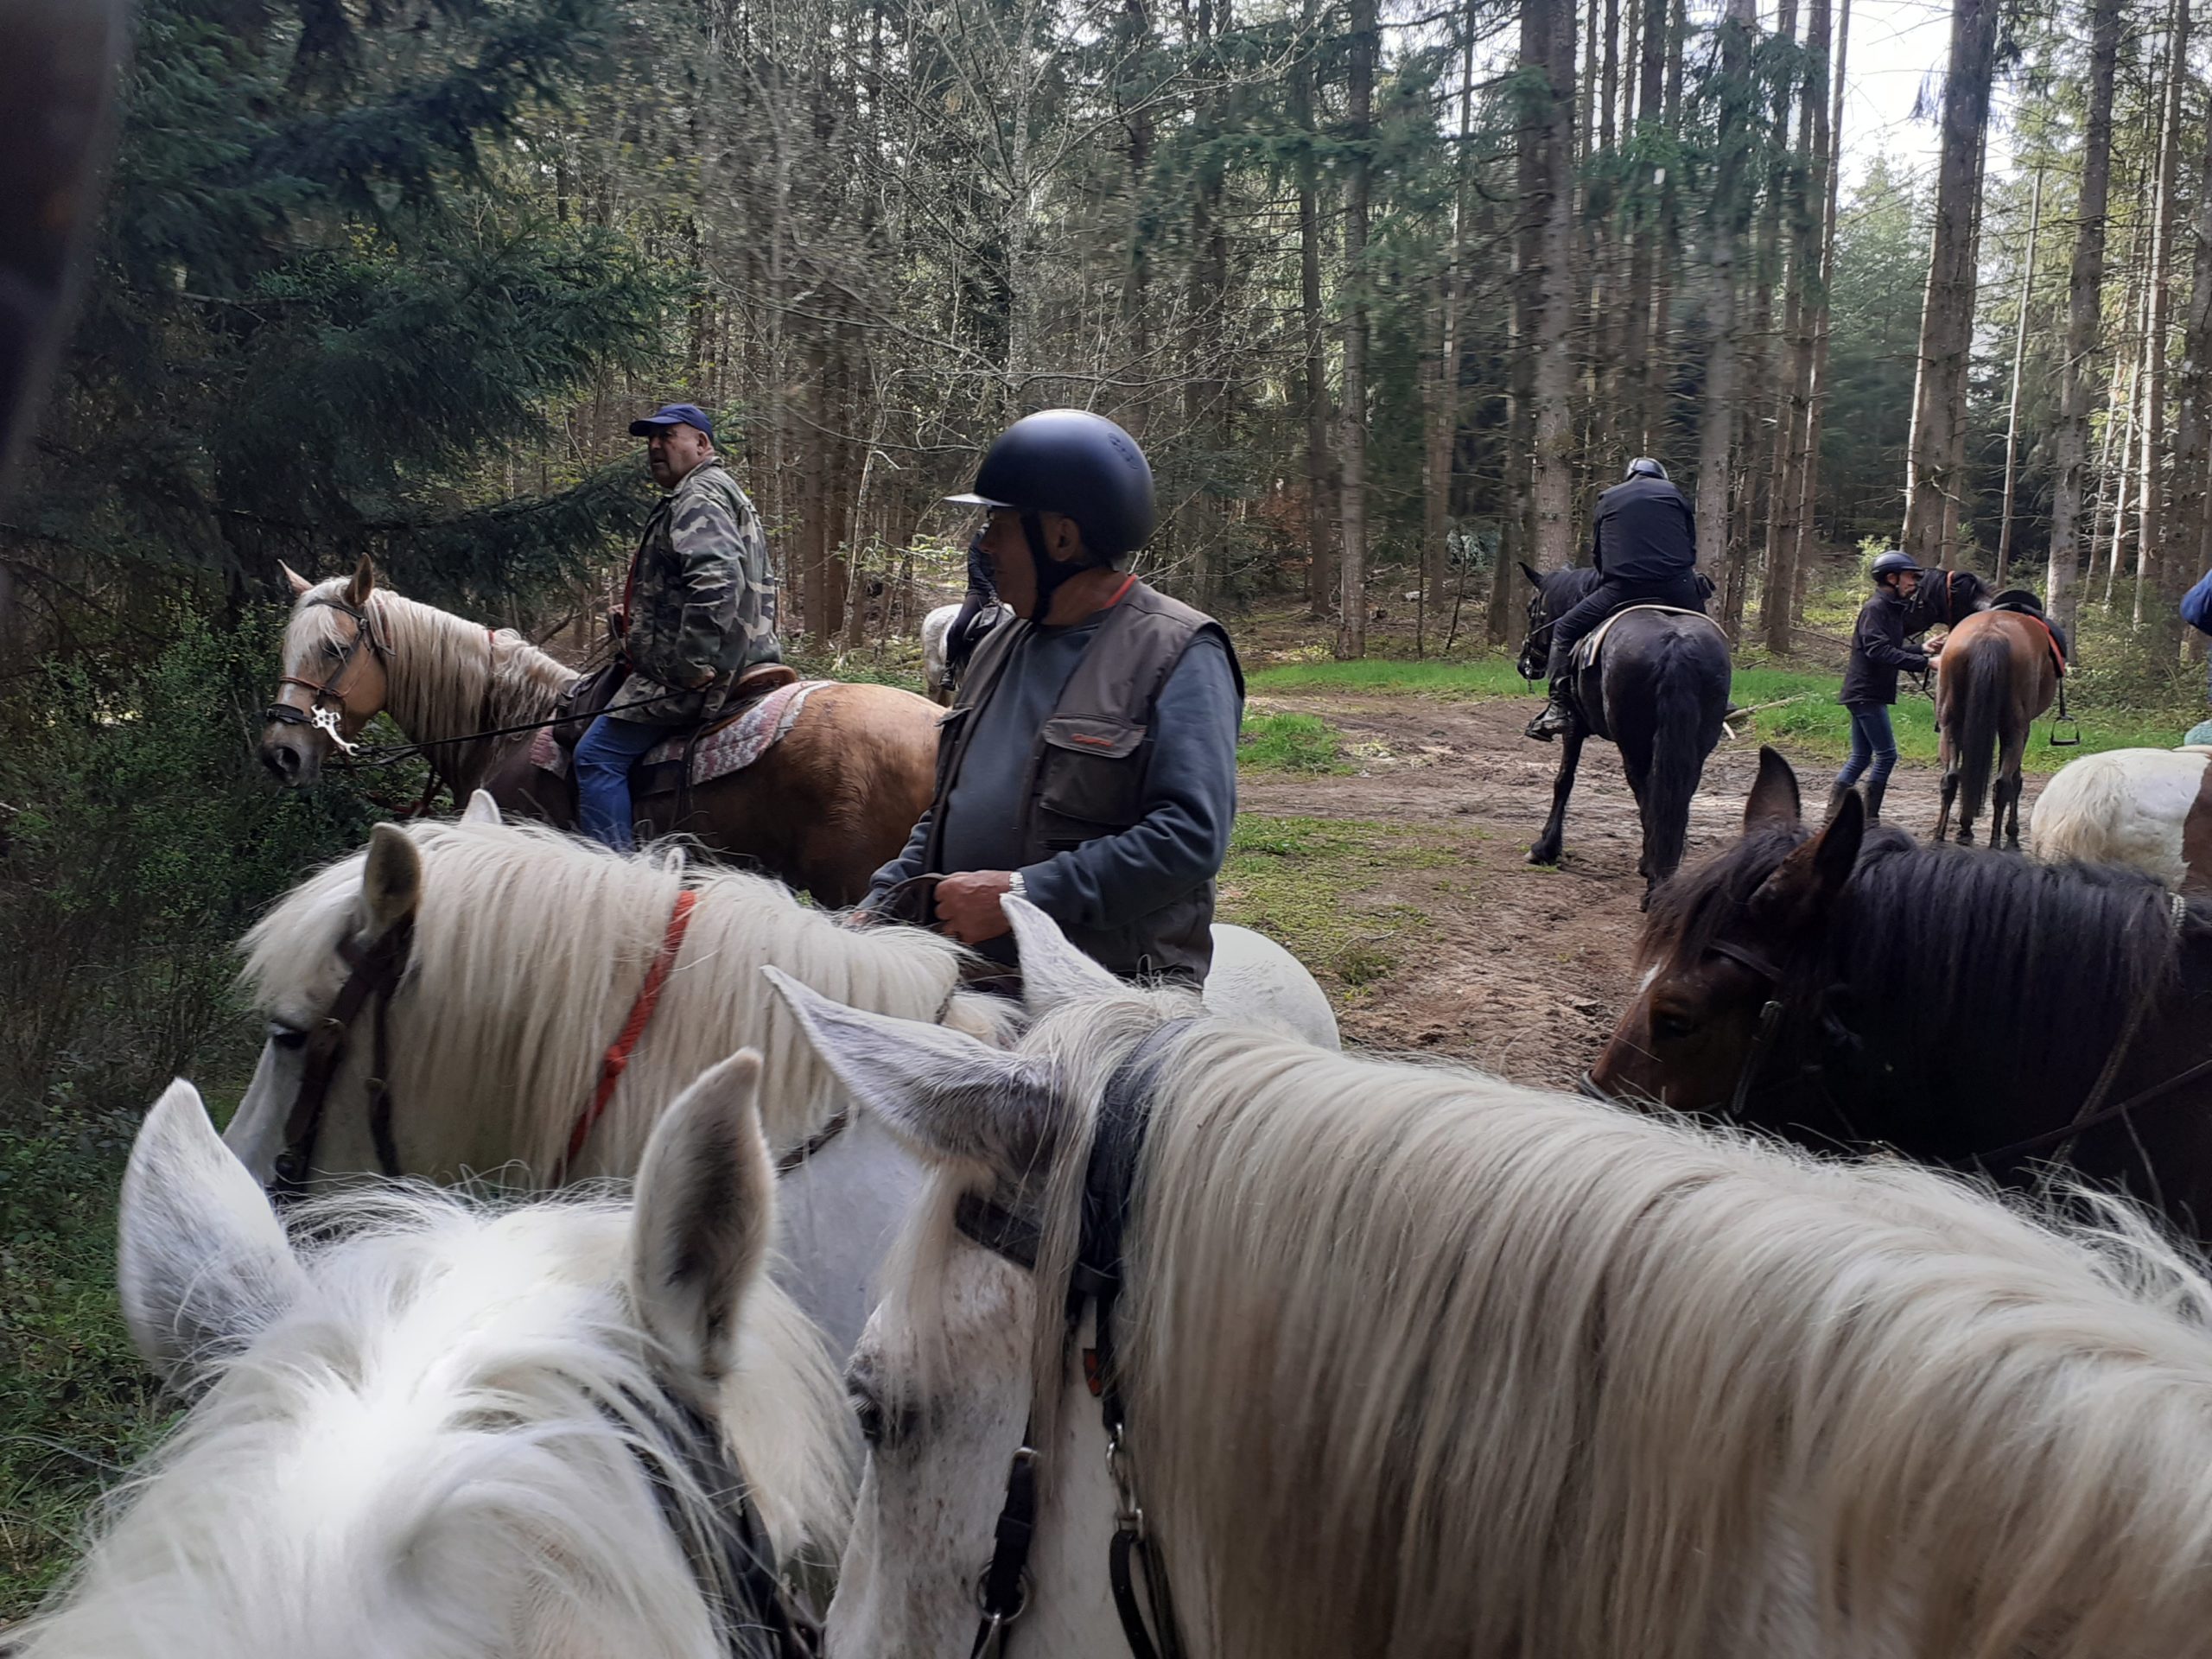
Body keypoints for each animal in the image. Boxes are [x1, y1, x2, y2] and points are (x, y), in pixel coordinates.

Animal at [1515, 564, 1732, 906]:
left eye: (1532, 608)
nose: (1526, 664)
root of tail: (1676, 643)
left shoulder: (1574, 728)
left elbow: (1564, 780)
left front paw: (1545, 849)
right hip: (1696, 744)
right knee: (1676, 793)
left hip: (1633, 744)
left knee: (1645, 790)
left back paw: (1653, 873)